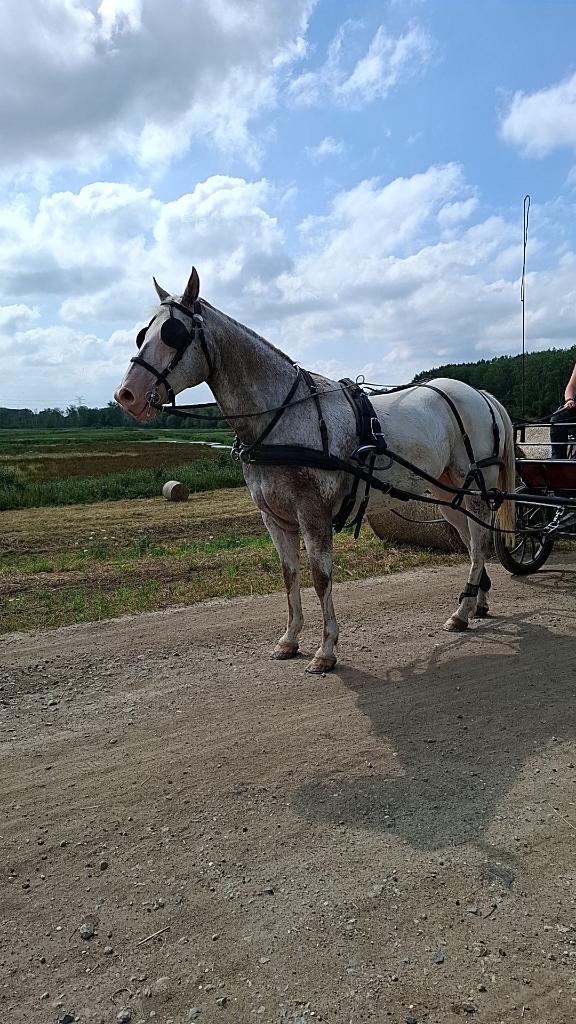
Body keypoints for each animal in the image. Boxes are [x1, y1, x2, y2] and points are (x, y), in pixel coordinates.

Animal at [114, 268, 515, 674]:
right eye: (142, 334)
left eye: (172, 333)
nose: (126, 395)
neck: (282, 415)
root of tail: (479, 394)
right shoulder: (274, 518)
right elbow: (289, 576)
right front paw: (289, 639)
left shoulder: (313, 513)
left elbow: (321, 578)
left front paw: (326, 650)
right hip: (447, 493)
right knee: (472, 541)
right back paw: (474, 603)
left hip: (474, 488)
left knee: (479, 540)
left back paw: (462, 612)